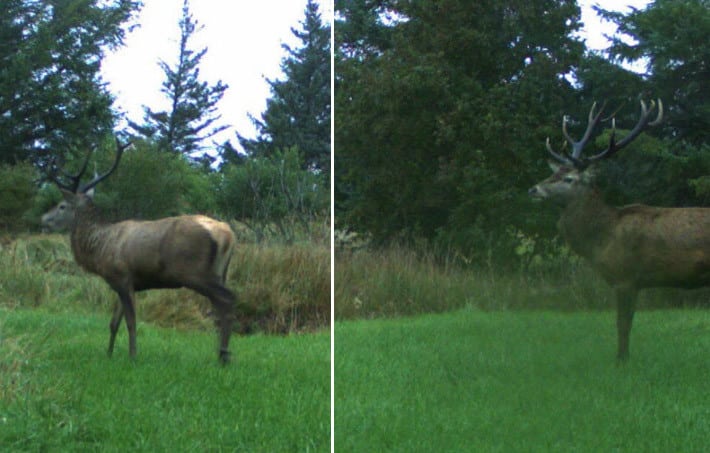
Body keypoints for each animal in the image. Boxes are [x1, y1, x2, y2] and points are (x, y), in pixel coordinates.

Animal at [41, 139, 237, 364]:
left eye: (62, 206)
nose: (43, 219)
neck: (99, 248)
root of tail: (227, 234)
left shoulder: (123, 276)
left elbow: (131, 321)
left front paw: (133, 356)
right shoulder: (122, 282)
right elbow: (113, 323)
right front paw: (108, 354)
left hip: (194, 272)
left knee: (228, 299)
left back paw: (224, 355)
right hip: (220, 272)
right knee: (221, 304)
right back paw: (221, 353)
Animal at [529, 99, 710, 362]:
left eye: (569, 178)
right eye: (553, 173)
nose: (533, 189)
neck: (602, 238)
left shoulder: (626, 276)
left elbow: (623, 324)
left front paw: (621, 360)